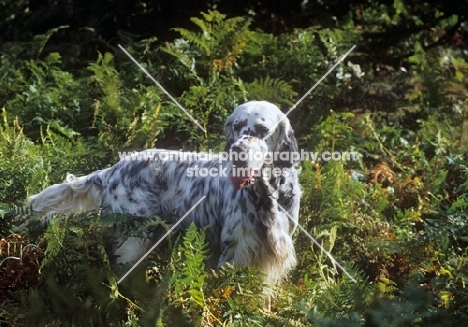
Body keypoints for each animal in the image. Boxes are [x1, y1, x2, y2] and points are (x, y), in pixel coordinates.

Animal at [27, 101, 302, 286]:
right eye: (237, 127)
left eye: (262, 130)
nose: (237, 150)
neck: (267, 194)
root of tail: (112, 170)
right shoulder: (235, 252)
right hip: (134, 241)